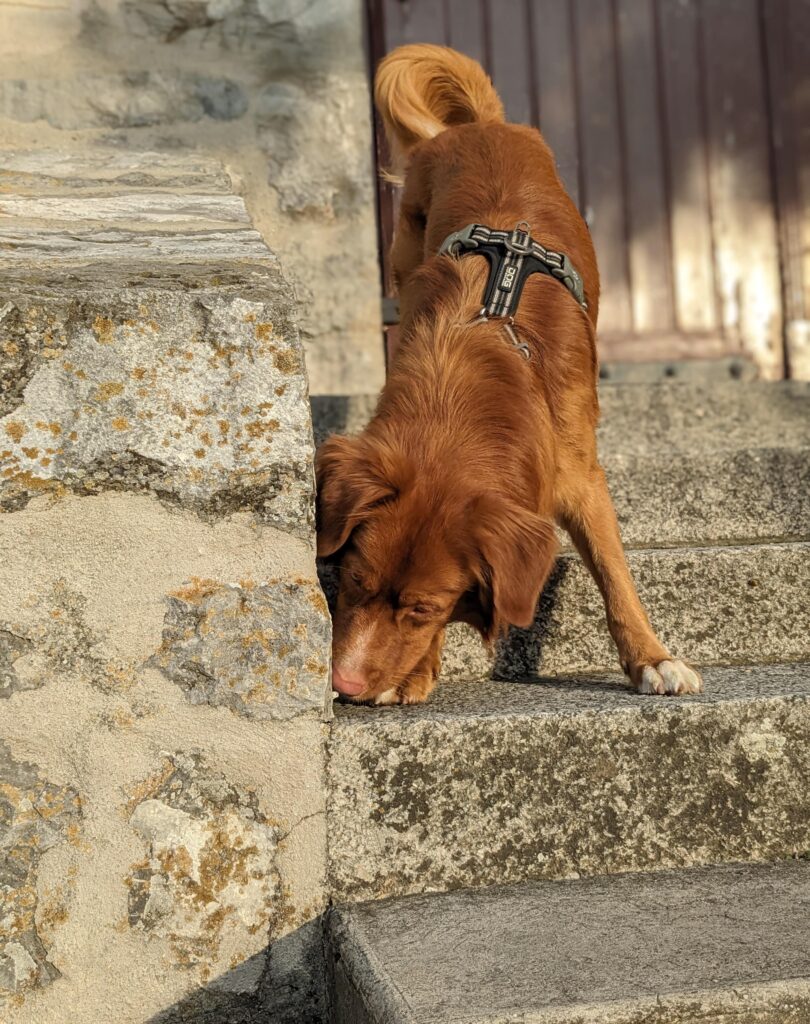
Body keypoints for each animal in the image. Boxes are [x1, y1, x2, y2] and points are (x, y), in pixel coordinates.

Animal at [317, 44, 704, 708]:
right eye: (351, 582)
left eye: (421, 608)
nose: (344, 685)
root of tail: (481, 126)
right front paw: (418, 670)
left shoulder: (578, 472)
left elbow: (613, 569)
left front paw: (653, 658)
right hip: (403, 256)